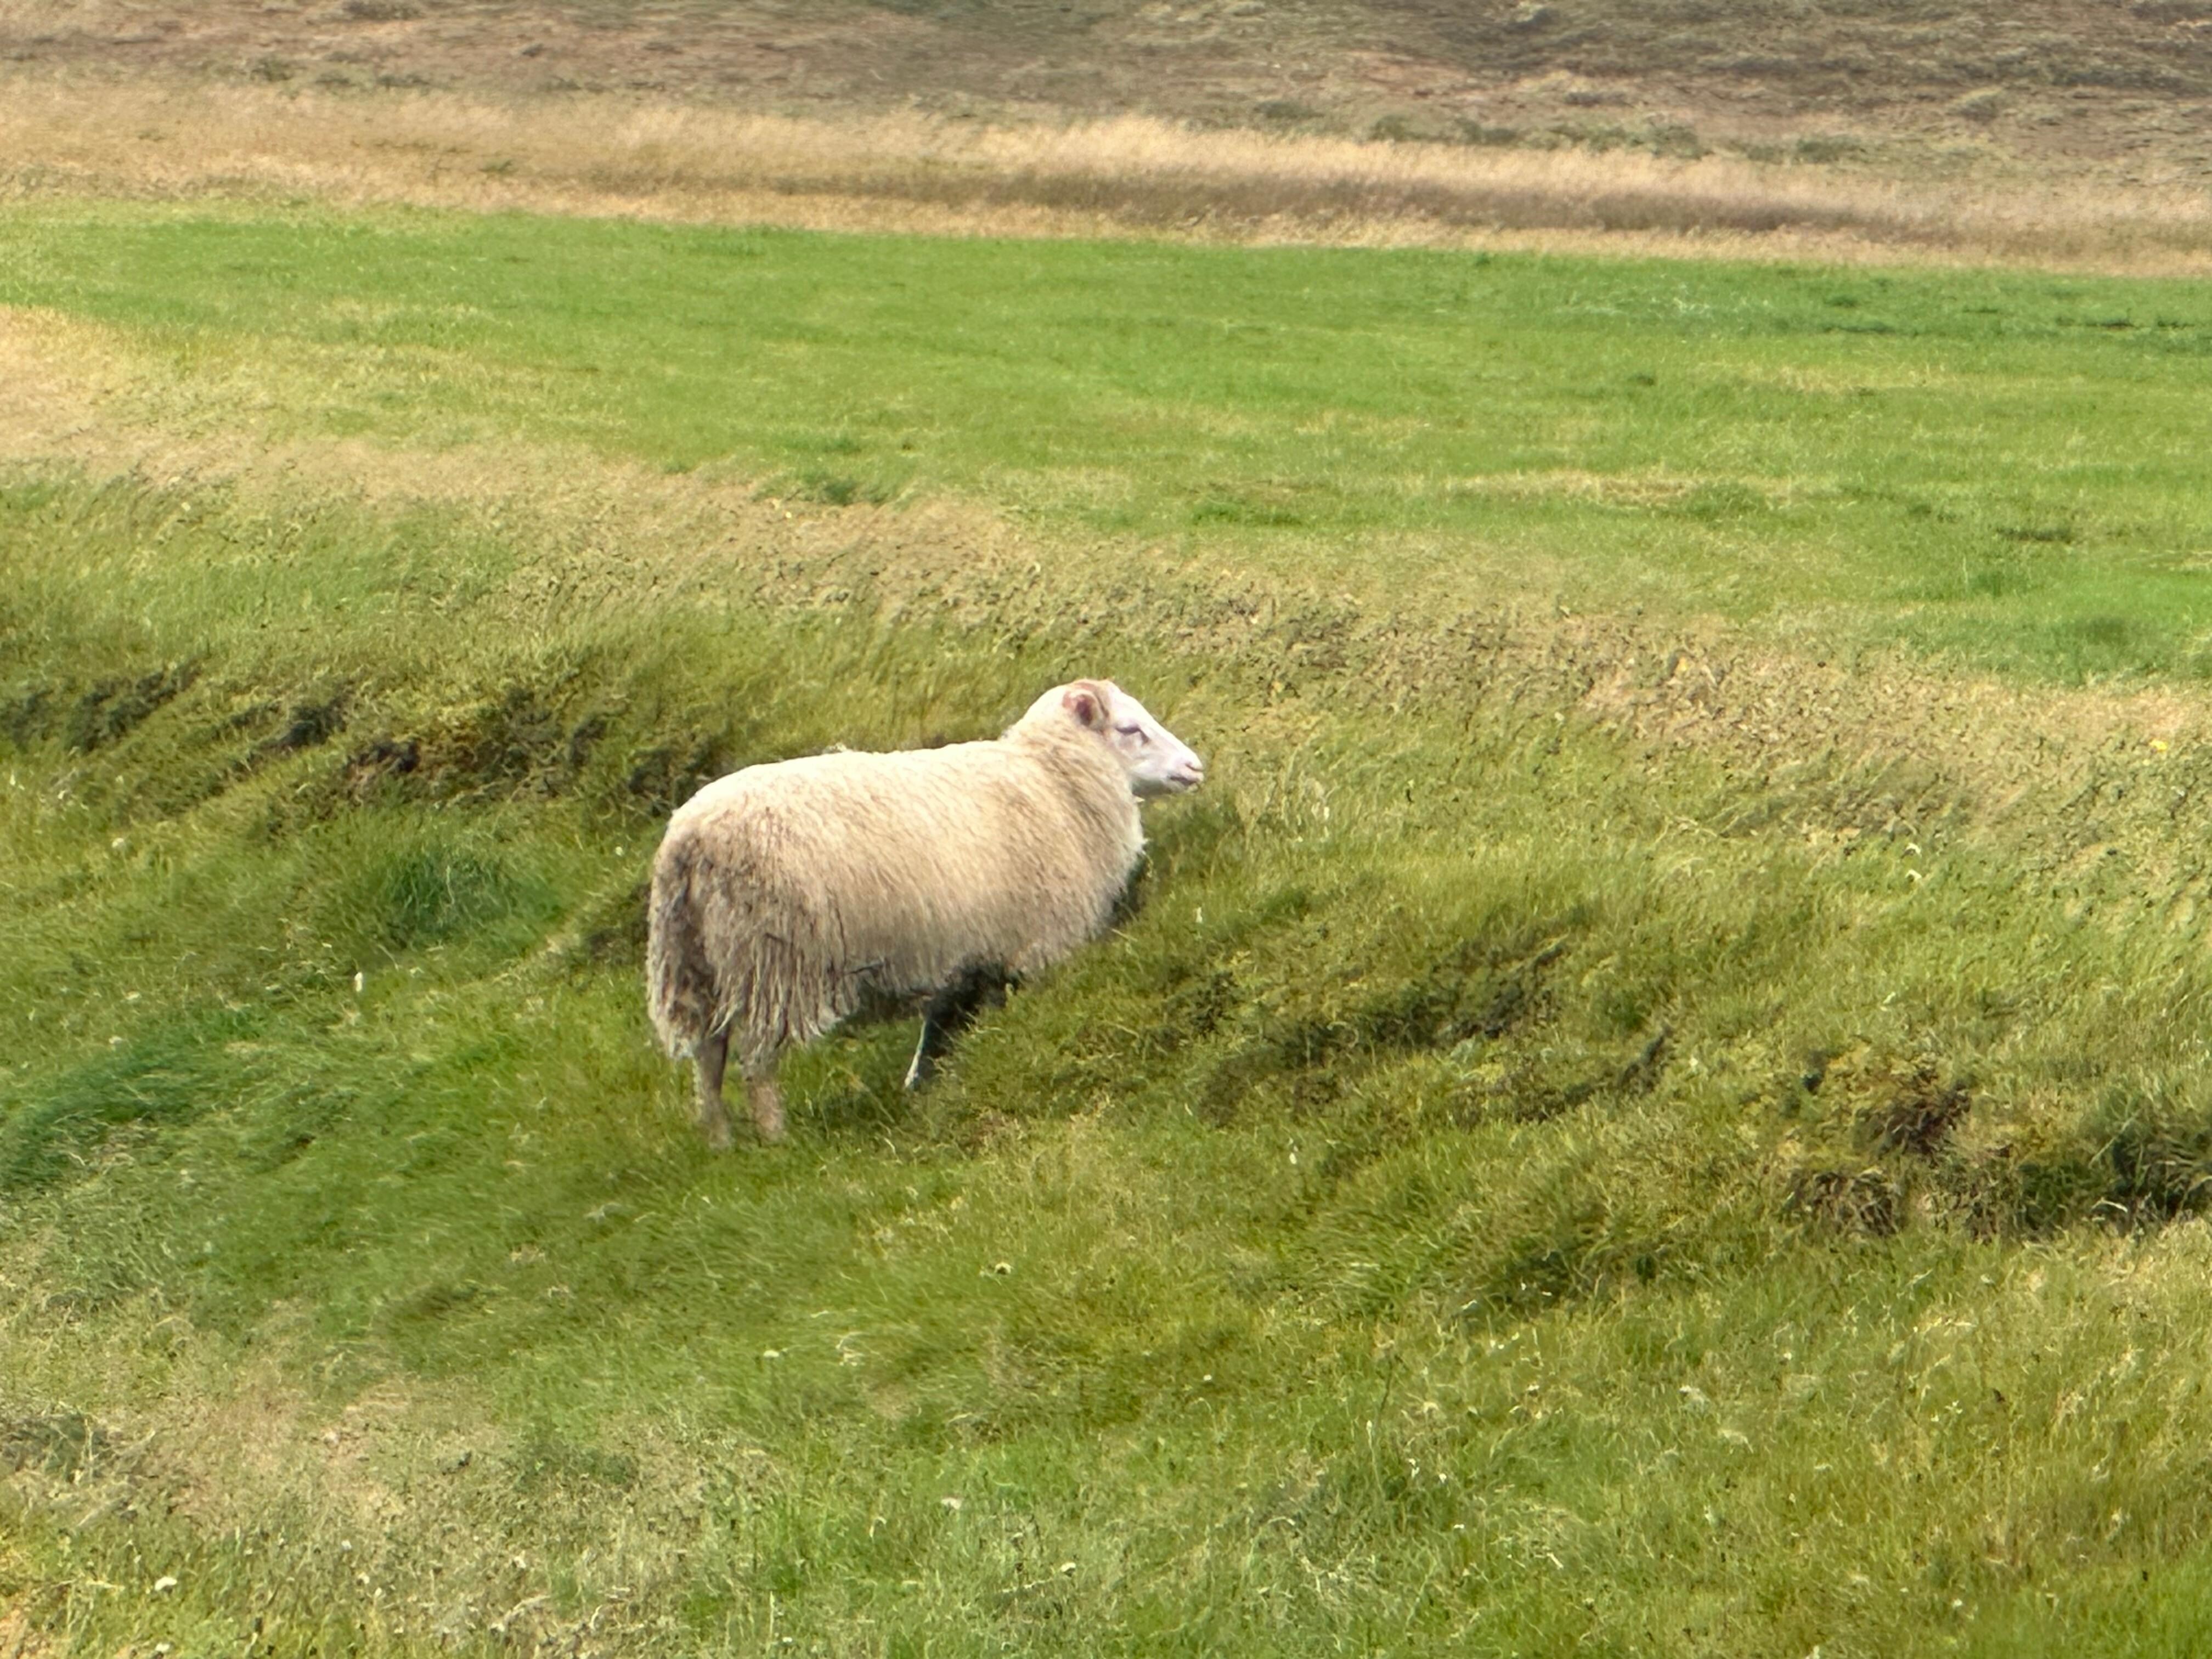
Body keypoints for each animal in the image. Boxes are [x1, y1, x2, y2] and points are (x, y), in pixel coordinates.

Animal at [646, 679, 1205, 1147]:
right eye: (1130, 729)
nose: (1195, 767)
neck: (1054, 781)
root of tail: (687, 840)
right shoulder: (1038, 945)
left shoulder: (972, 955)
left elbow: (940, 1029)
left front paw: (923, 1086)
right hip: (773, 962)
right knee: (755, 1061)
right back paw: (775, 1136)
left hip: (697, 962)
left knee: (708, 1057)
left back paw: (719, 1139)